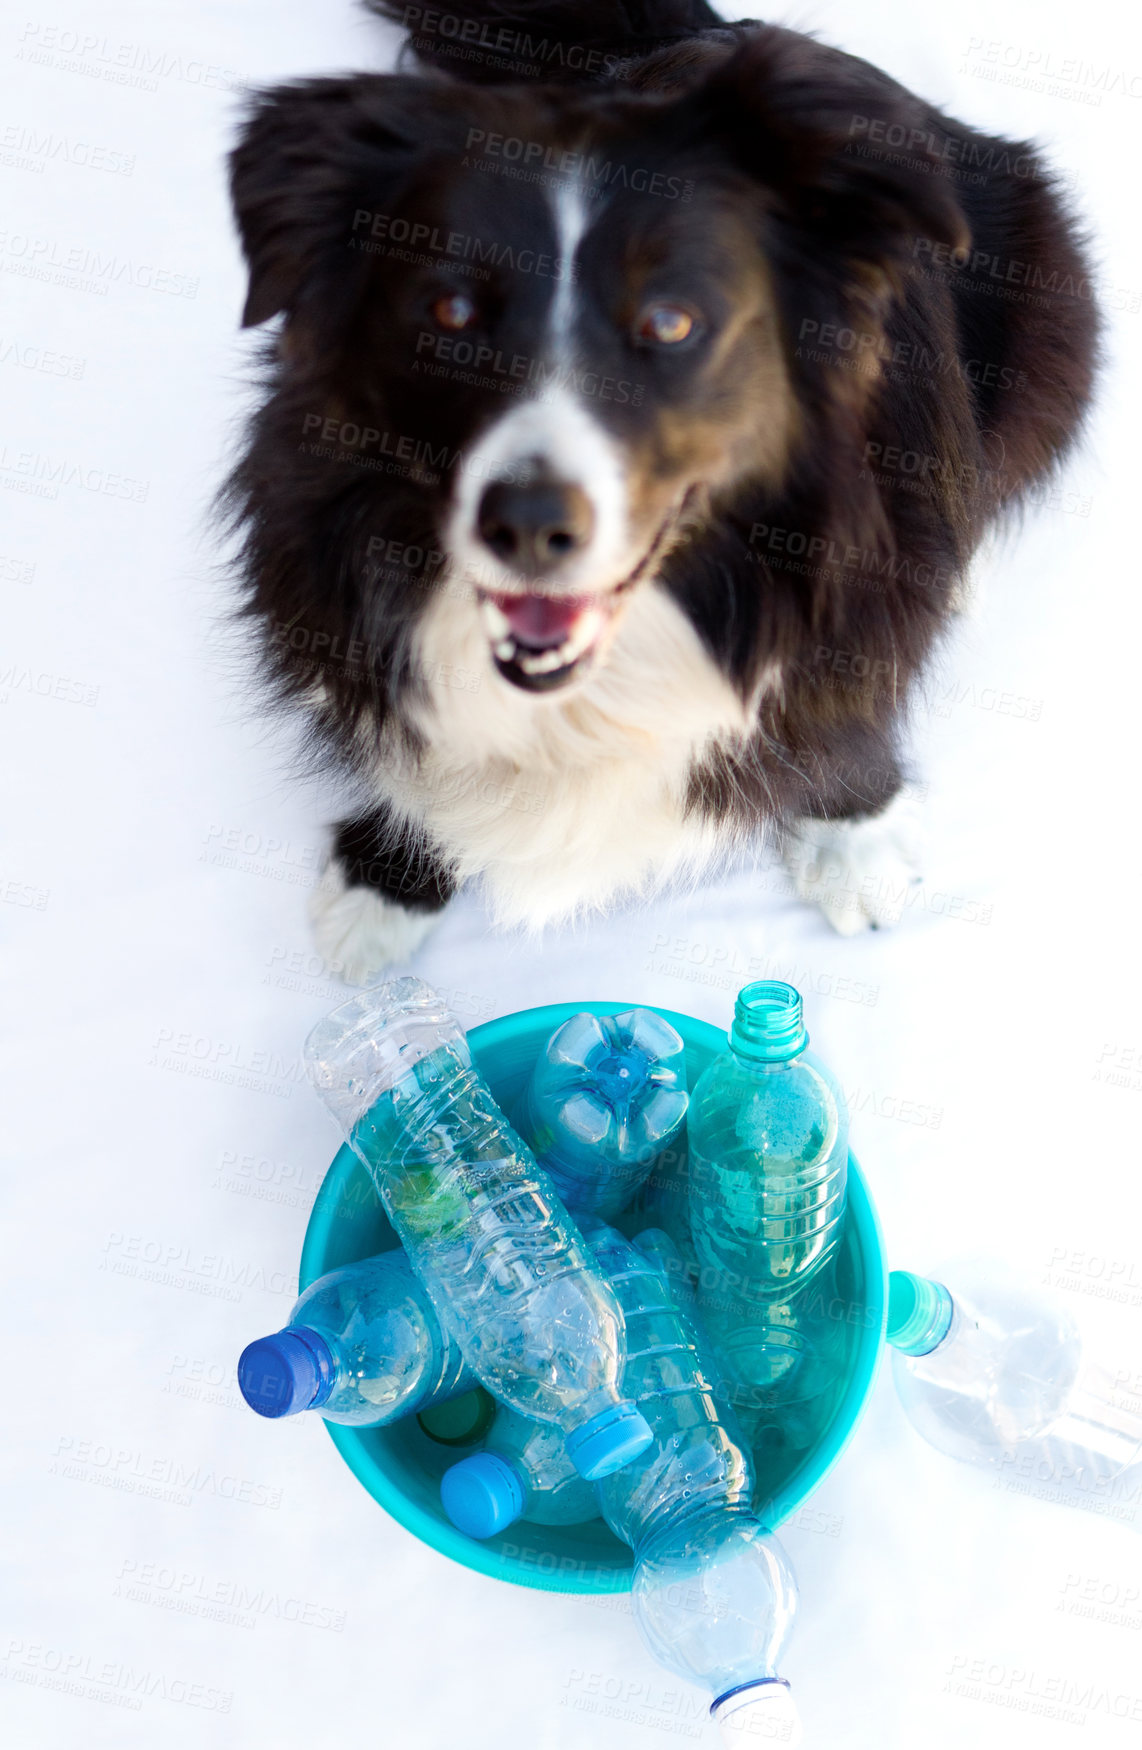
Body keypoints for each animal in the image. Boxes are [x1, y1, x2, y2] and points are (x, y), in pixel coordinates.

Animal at [225, 0, 1098, 980]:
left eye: (672, 322)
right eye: (450, 312)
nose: (529, 526)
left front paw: (855, 841)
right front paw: (385, 883)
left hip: (1052, 306)